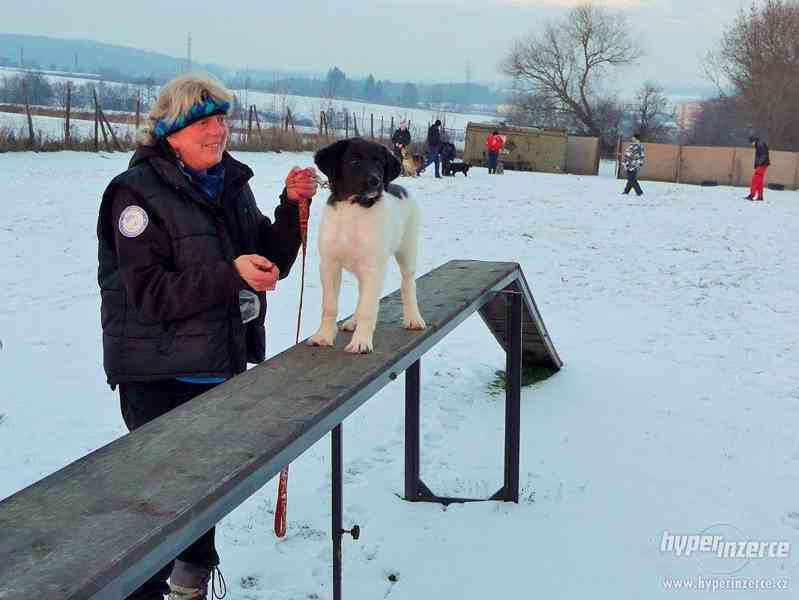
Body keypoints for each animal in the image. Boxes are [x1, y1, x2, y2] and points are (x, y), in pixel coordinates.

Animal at [310, 138, 428, 354]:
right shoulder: (329, 265)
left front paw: (361, 342)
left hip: (407, 250)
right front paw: (323, 336)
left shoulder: (374, 267)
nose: (376, 181)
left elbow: (368, 308)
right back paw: (353, 321)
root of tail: (400, 187)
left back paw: (413, 318)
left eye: (379, 163)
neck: (354, 209)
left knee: (408, 284)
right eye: (354, 161)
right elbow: (330, 305)